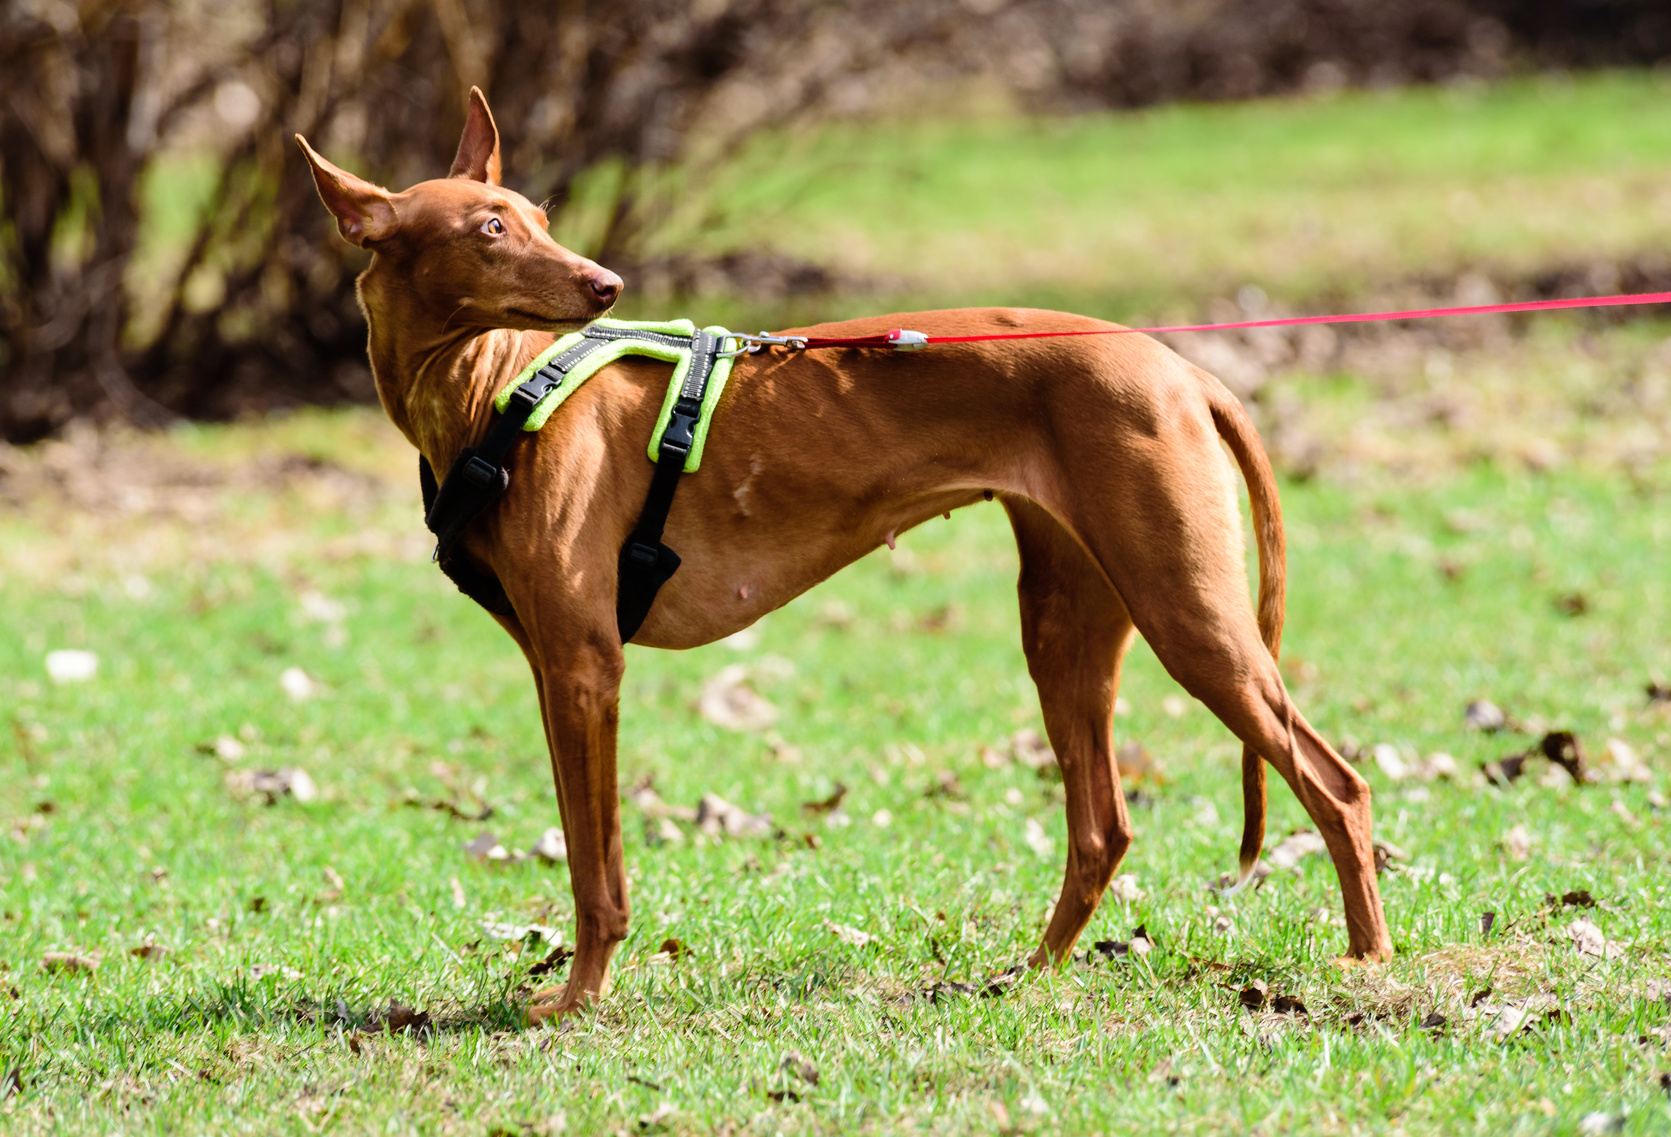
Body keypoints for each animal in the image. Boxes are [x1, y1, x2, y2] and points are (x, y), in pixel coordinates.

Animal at [300, 86, 1396, 1009]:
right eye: (492, 228)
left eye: (534, 212)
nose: (604, 282)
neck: (490, 389)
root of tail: (1176, 364)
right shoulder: (552, 666)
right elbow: (581, 844)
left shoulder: (584, 663)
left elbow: (595, 868)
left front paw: (576, 1001)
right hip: (1065, 626)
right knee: (1103, 825)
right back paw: (1029, 974)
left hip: (1189, 613)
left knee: (1336, 785)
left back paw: (1369, 959)